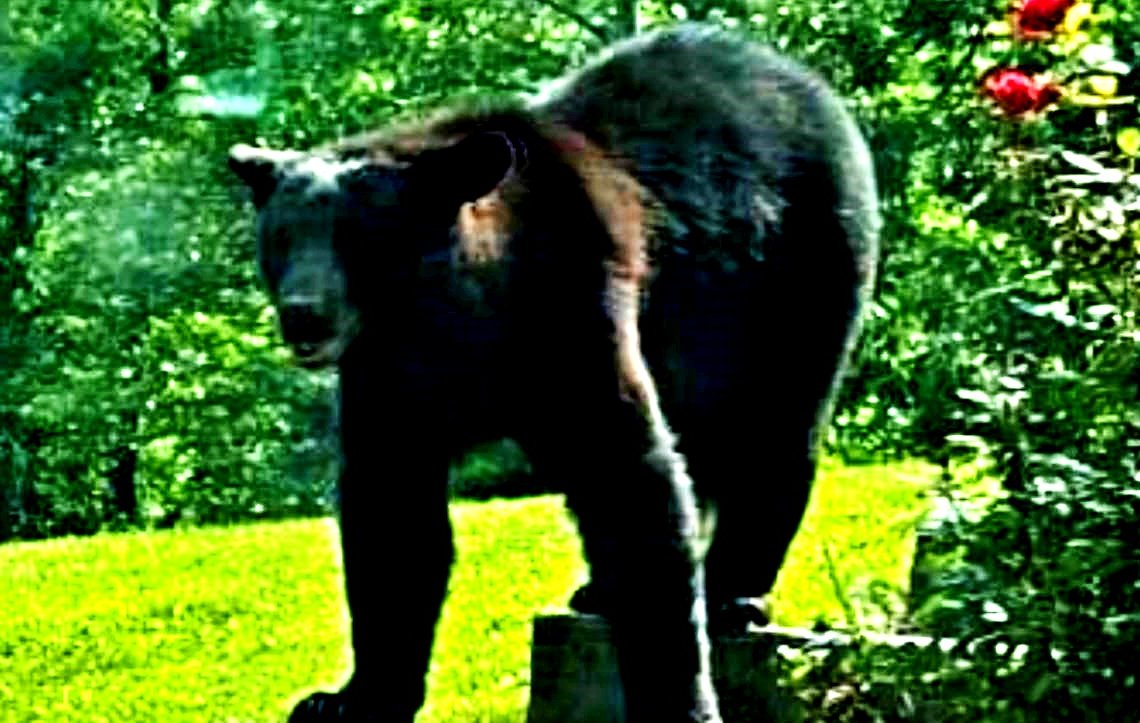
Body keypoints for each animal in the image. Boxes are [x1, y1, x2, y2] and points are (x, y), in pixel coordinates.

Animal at [228, 22, 880, 723]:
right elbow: (392, 518)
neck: (457, 317)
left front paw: (681, 698)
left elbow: (630, 478)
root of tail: (806, 82)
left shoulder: (573, 316)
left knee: (776, 430)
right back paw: (600, 591)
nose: (303, 314)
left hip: (798, 273)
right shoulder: (392, 378)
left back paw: (734, 592)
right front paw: (350, 697)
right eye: (281, 238)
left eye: (360, 237)